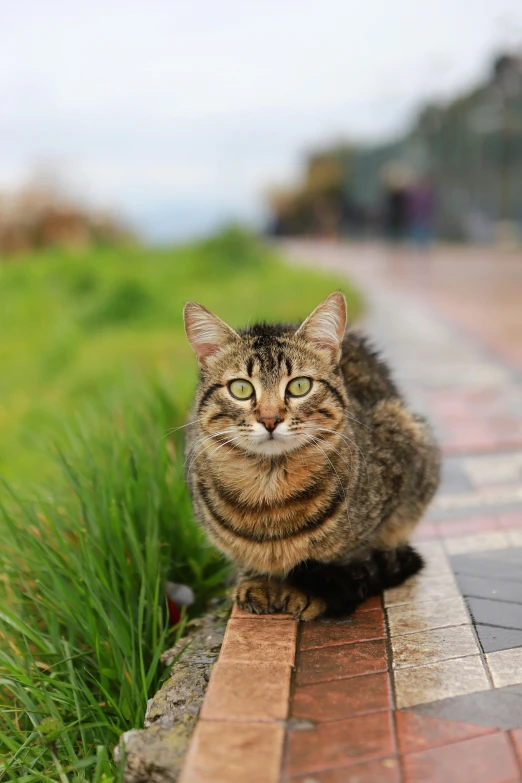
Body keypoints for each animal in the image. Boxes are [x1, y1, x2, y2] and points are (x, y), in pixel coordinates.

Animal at [183, 290, 438, 620]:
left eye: (299, 386)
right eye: (241, 389)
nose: (269, 420)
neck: (269, 491)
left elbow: (343, 560)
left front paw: (305, 590)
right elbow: (247, 559)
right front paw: (257, 580)